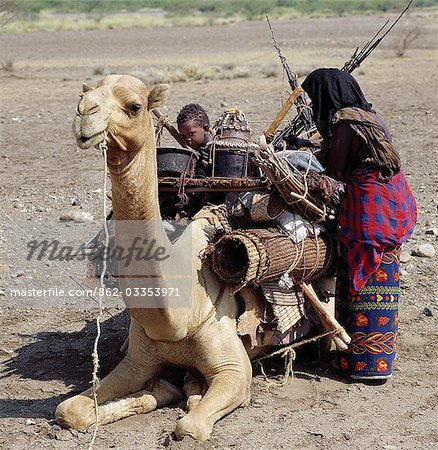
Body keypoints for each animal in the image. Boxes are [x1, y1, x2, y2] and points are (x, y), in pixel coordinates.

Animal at [55, 75, 264, 442]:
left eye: (134, 106)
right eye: (85, 95)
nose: (84, 114)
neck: (178, 316)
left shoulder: (235, 372)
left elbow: (190, 426)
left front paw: (182, 395)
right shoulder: (136, 364)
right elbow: (70, 409)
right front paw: (159, 390)